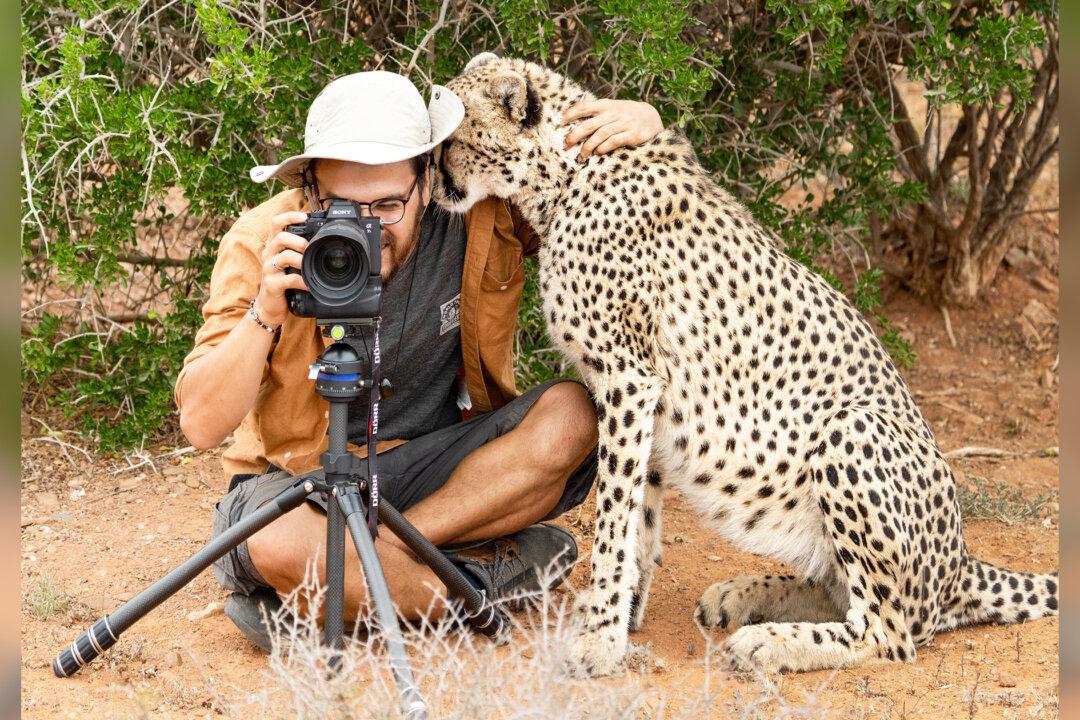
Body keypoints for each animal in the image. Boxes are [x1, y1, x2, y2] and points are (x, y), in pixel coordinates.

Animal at [432, 53, 1059, 677]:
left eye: (452, 141)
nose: (433, 186)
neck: (564, 174)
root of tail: (962, 562)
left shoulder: (628, 379)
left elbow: (613, 519)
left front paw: (600, 638)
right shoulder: (645, 392)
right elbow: (641, 520)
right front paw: (623, 616)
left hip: (849, 429)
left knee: (889, 632)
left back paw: (770, 639)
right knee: (843, 593)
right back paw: (741, 596)